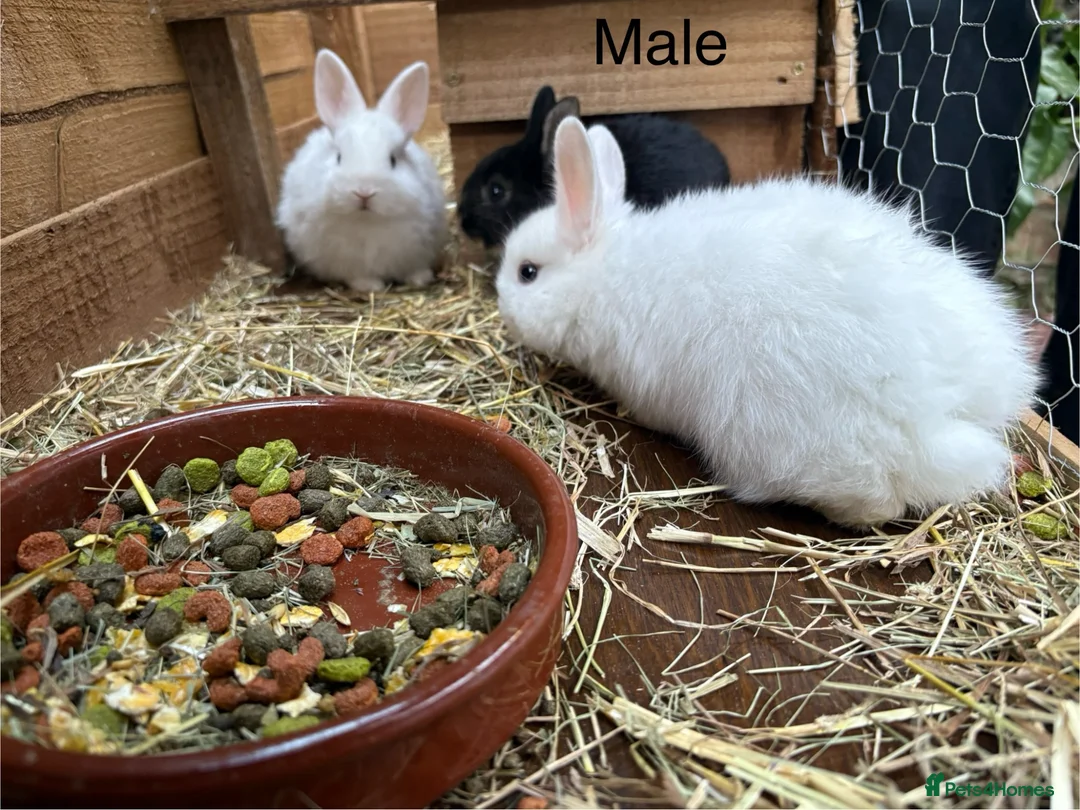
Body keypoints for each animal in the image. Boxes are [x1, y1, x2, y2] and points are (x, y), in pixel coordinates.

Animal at [275, 49, 447, 293]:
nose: (364, 192)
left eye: (393, 159)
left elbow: (414, 270)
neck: (367, 221)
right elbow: (358, 277)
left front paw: (420, 279)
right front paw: (371, 287)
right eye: (339, 157)